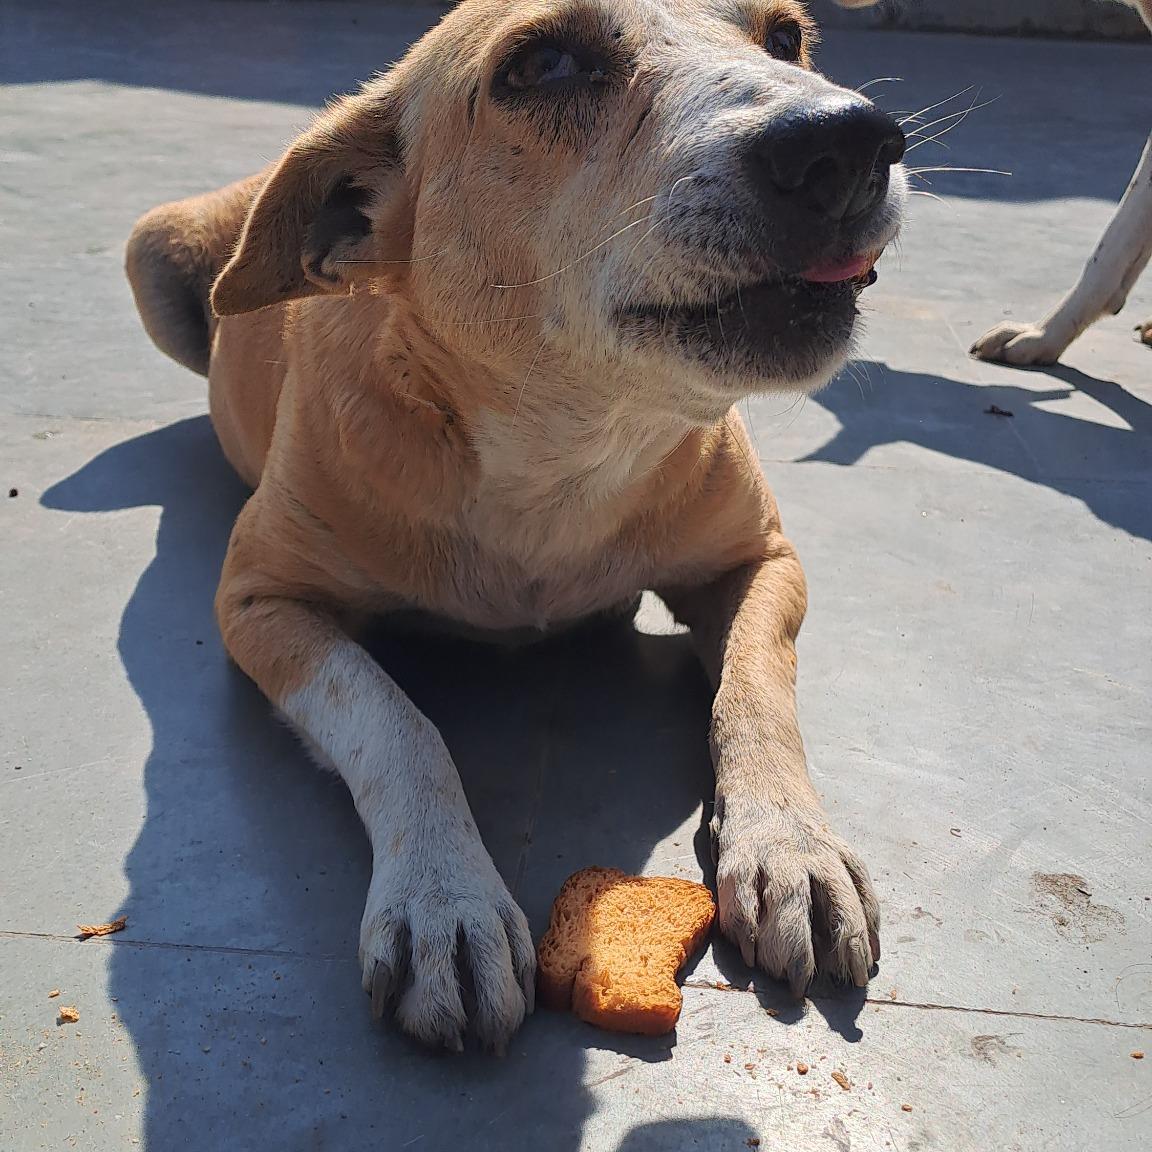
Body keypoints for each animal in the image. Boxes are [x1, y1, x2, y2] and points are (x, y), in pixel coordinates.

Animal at [126, 0, 906, 1051]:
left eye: (786, 38)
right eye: (541, 65)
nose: (850, 141)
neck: (560, 451)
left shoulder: (761, 561)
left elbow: (754, 692)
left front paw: (794, 847)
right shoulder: (259, 599)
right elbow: (396, 723)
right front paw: (443, 899)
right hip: (153, 246)